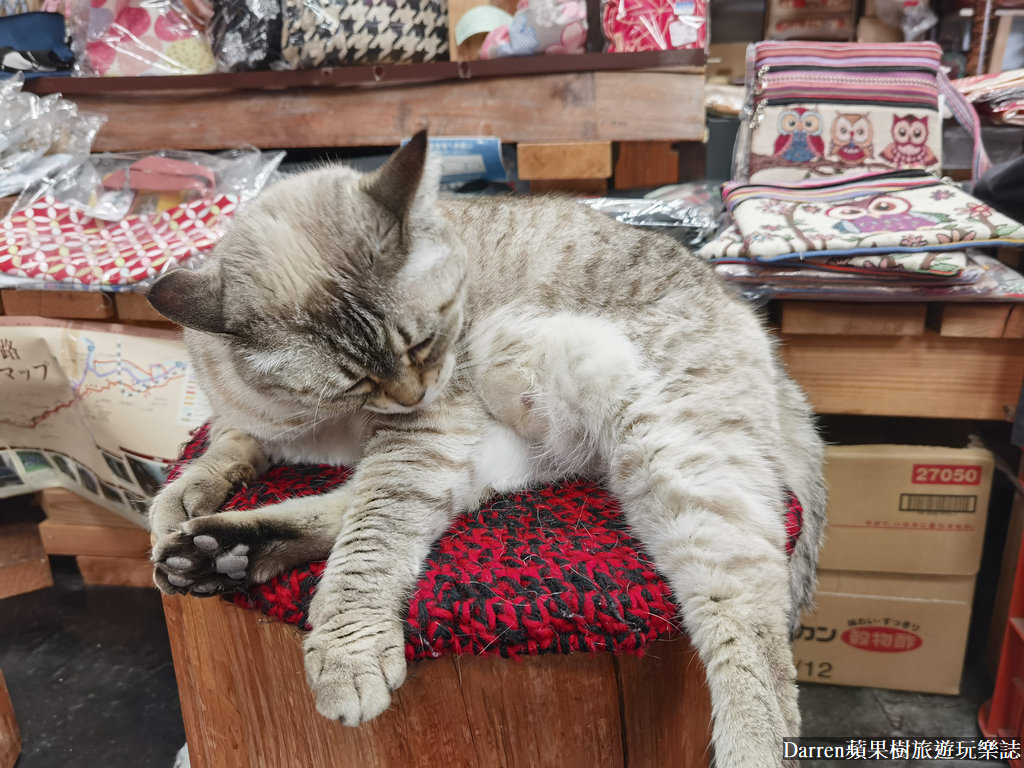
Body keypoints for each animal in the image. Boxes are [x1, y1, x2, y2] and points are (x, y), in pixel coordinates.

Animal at [148, 134, 827, 768]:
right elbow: (228, 447)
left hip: (661, 449)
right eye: (355, 380)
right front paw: (184, 496)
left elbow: (371, 544)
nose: (414, 395)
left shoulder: (422, 437)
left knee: (752, 629)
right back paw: (214, 554)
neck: (312, 420)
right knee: (349, 510)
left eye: (423, 344)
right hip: (514, 452)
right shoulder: (273, 423)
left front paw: (346, 654)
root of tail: (756, 328)